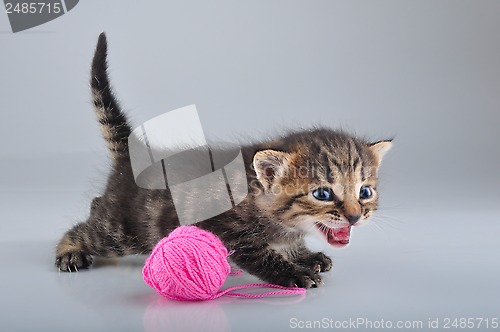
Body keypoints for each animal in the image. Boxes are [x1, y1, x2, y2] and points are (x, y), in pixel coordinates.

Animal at [54, 33, 390, 288]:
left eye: (365, 192)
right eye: (322, 194)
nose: (354, 217)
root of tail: (132, 160)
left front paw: (304, 255)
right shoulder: (226, 229)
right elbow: (261, 256)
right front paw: (293, 273)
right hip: (125, 229)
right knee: (91, 226)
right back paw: (69, 250)